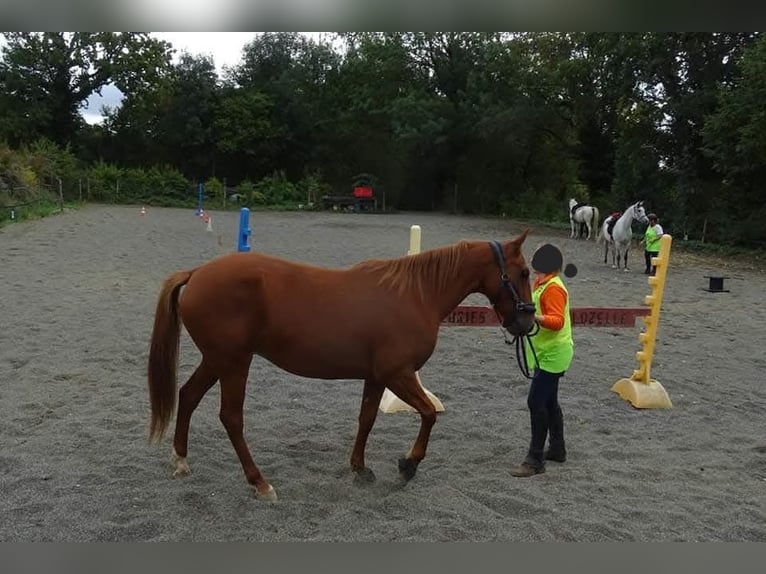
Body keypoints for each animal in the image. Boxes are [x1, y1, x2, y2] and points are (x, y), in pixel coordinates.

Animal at [147, 231, 536, 501]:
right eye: (522, 272)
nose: (526, 322)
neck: (417, 294)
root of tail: (197, 273)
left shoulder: (377, 377)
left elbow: (367, 419)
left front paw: (360, 468)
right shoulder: (398, 375)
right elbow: (428, 414)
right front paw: (408, 464)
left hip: (218, 360)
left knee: (189, 395)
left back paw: (181, 460)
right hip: (233, 363)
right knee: (231, 417)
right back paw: (260, 483)